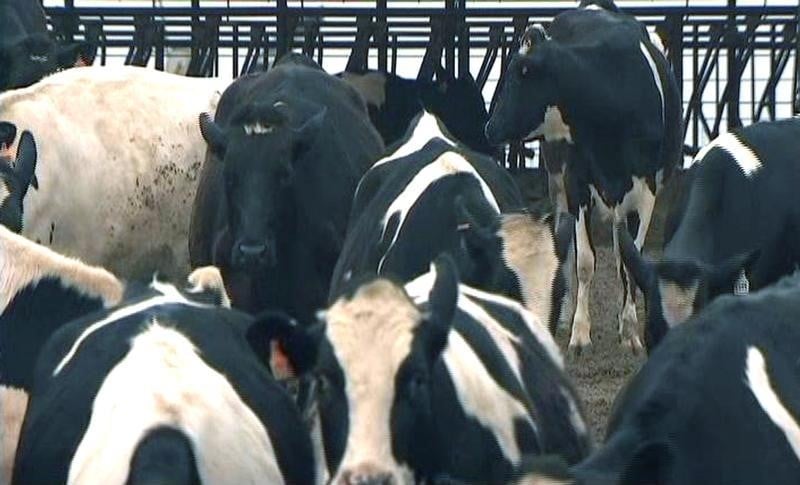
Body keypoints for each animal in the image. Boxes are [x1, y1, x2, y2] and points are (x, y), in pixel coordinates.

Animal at [485, 0, 683, 354]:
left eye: (519, 76)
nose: (489, 128)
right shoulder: (576, 184)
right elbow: (586, 261)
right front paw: (579, 333)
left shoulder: (645, 193)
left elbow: (628, 262)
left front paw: (630, 331)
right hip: (556, 177)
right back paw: (564, 314)